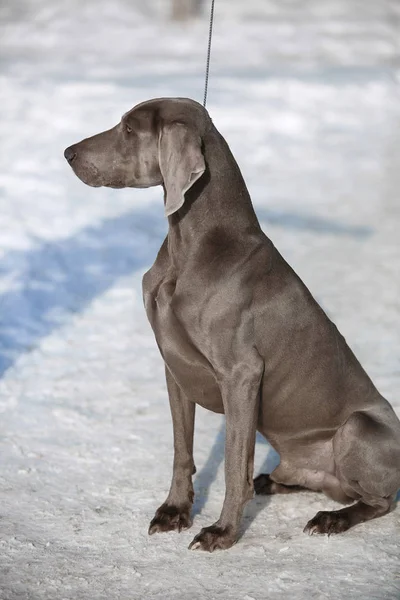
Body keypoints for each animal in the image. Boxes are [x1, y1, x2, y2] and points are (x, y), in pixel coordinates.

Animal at [65, 96, 400, 552]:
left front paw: (221, 533)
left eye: (130, 129)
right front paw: (174, 511)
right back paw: (273, 482)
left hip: (358, 427)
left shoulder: (241, 373)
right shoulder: (175, 367)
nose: (68, 153)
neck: (191, 244)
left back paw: (332, 519)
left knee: (379, 500)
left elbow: (230, 467)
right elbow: (182, 450)